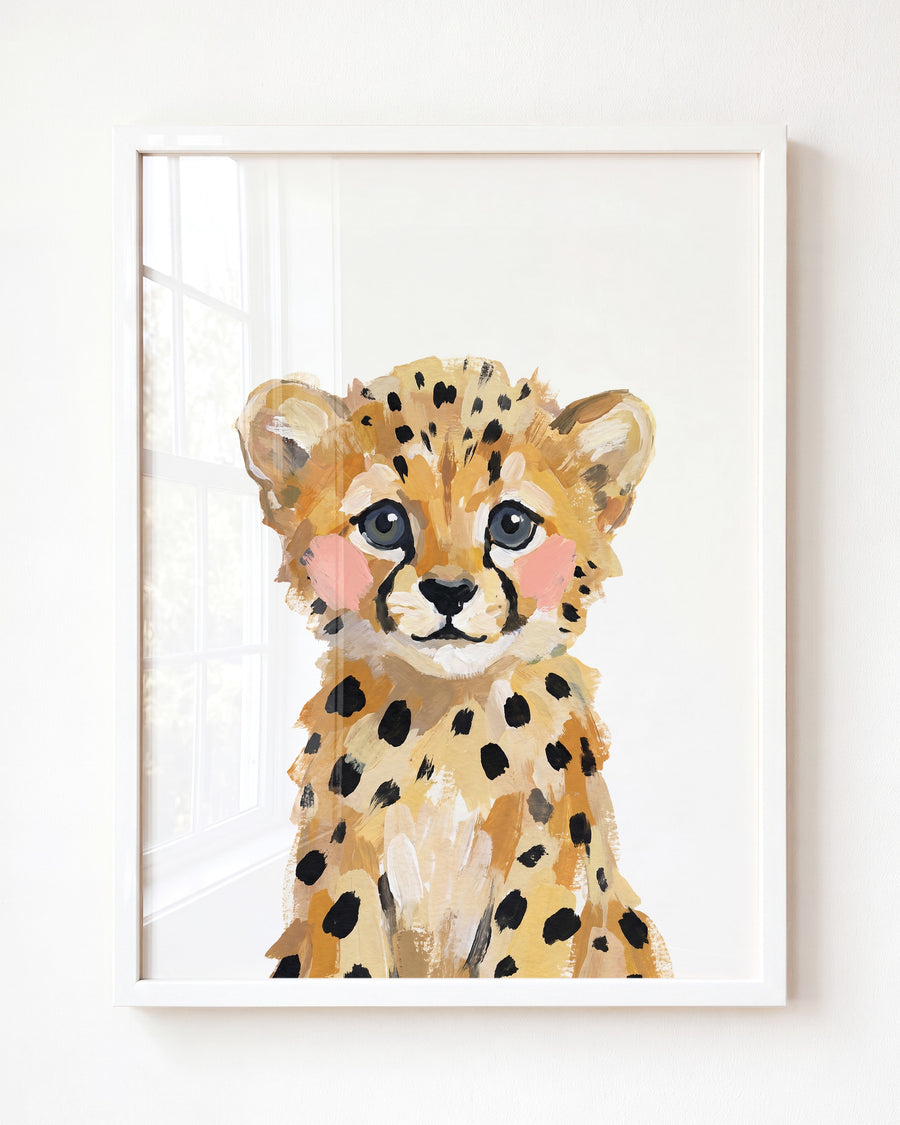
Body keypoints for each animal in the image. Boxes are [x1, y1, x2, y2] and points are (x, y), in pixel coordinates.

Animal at [237, 355, 672, 979]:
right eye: (384, 523)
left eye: (511, 524)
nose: (448, 592)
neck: (447, 720)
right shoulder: (343, 859)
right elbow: (349, 950)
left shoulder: (543, 869)